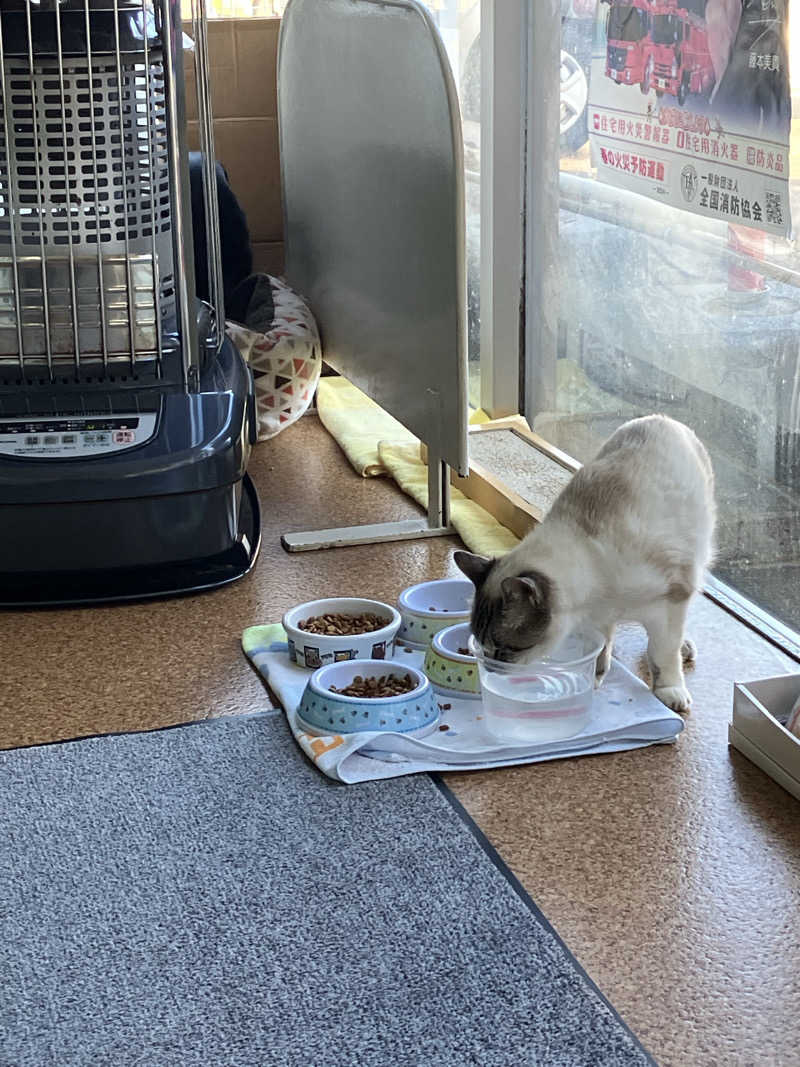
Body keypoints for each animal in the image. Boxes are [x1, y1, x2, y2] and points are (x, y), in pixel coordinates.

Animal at [454, 411, 716, 712]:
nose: (492, 669)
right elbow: (600, 647)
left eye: (507, 649)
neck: (598, 597)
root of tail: (660, 418)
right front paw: (593, 679)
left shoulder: (669, 602)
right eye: (482, 645)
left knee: (675, 635)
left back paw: (685, 648)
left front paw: (669, 691)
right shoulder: (598, 618)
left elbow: (662, 654)